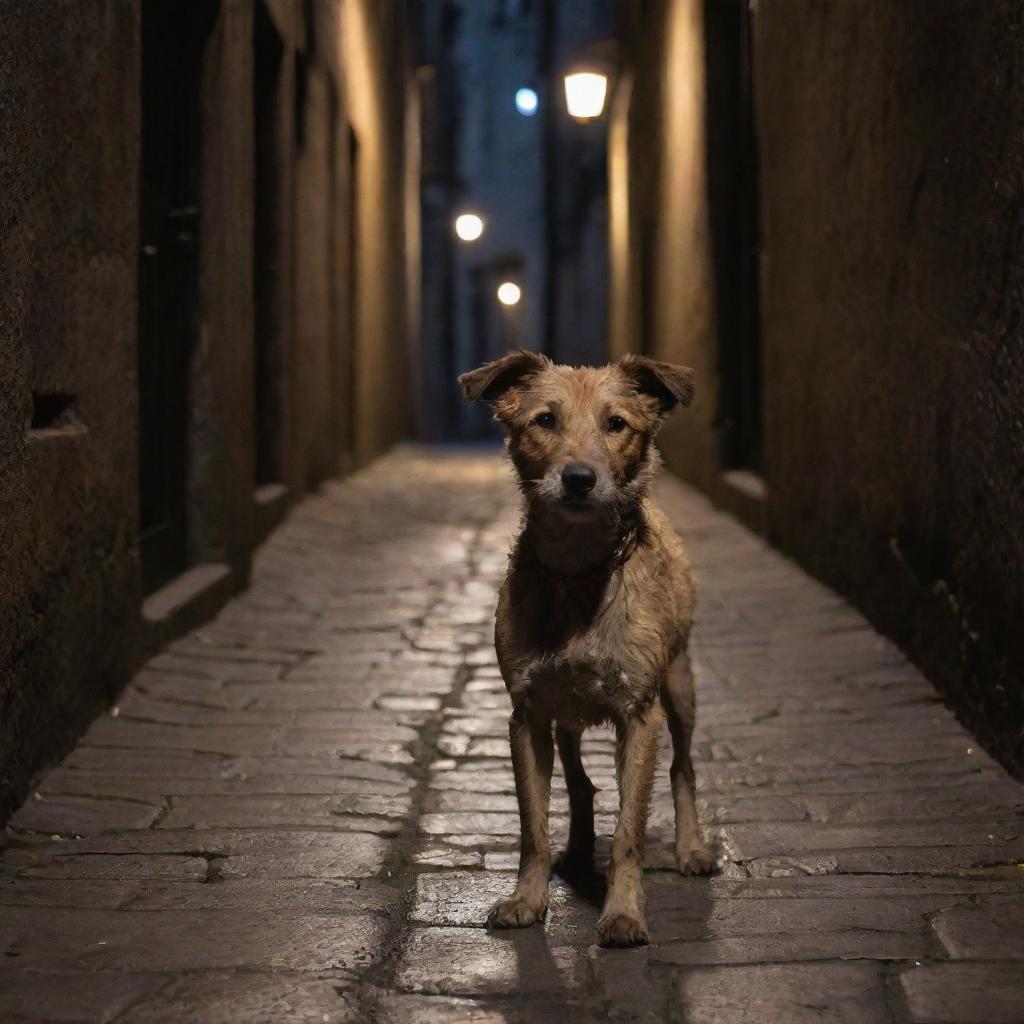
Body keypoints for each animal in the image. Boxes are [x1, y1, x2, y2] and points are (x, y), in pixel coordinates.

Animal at [460, 348, 716, 946]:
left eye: (616, 424)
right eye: (544, 420)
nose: (579, 478)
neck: (580, 576)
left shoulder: (640, 715)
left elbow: (628, 831)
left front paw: (623, 914)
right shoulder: (527, 716)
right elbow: (533, 827)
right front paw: (527, 899)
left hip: (680, 688)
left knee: (683, 768)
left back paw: (691, 849)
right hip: (567, 718)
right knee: (581, 784)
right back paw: (576, 852)